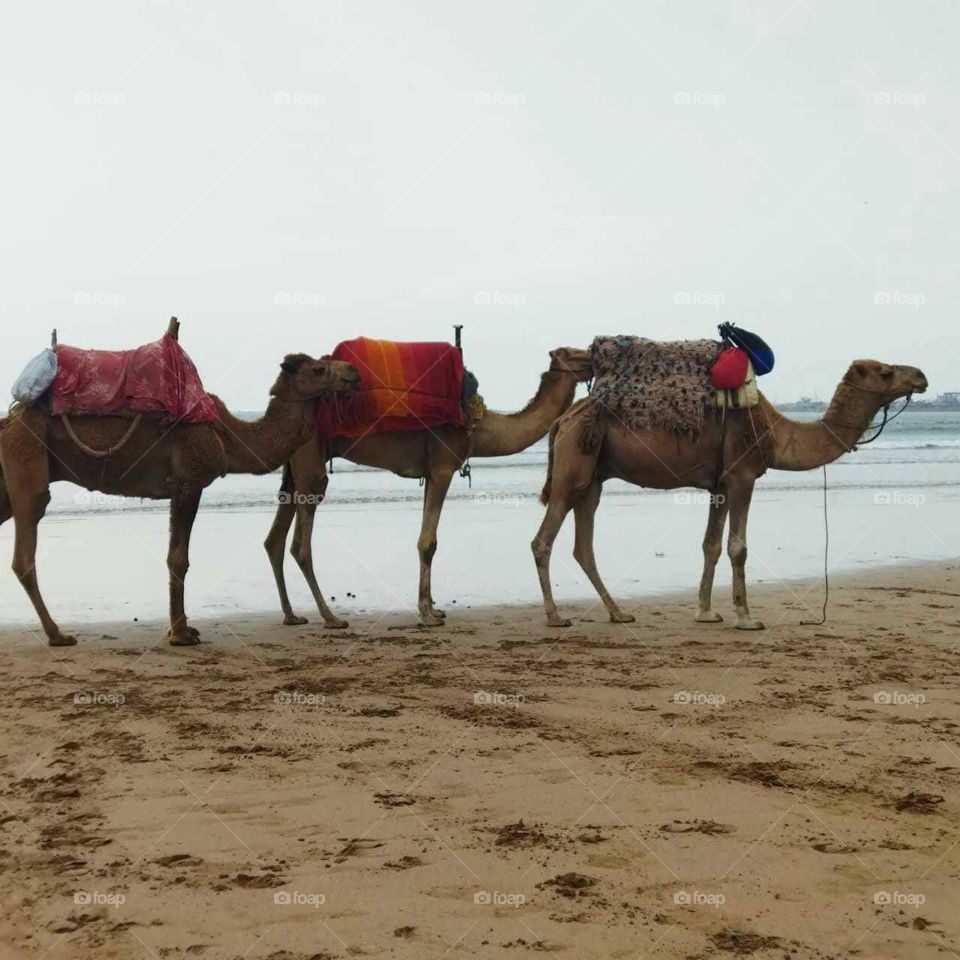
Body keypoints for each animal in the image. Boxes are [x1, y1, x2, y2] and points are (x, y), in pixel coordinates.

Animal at [0, 326, 360, 648]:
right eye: (318, 368)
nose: (353, 372)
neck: (227, 435)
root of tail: (9, 420)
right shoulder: (189, 481)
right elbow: (179, 558)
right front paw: (181, 634)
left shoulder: (178, 487)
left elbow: (177, 556)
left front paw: (183, 629)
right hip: (26, 453)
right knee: (25, 551)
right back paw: (57, 635)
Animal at [262, 348, 592, 628]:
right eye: (573, 353)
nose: (592, 356)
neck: (478, 424)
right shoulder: (444, 466)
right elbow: (428, 542)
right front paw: (427, 615)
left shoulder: (430, 473)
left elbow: (427, 537)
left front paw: (434, 607)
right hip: (309, 460)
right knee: (301, 543)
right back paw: (330, 618)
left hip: (292, 465)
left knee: (275, 539)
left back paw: (291, 616)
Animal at [528, 360, 928, 632]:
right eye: (885, 371)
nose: (921, 376)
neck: (774, 431)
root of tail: (562, 419)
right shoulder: (741, 476)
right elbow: (738, 547)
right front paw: (746, 617)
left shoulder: (719, 486)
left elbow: (711, 545)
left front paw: (706, 612)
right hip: (573, 468)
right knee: (543, 540)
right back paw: (556, 616)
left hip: (592, 476)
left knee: (583, 545)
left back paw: (618, 613)